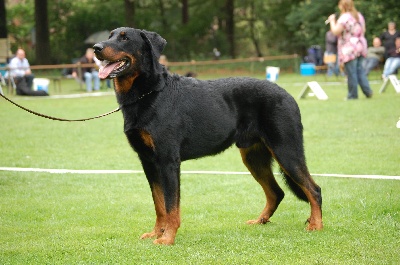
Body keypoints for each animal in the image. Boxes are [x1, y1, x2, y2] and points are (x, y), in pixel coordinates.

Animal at [93, 26, 322, 243]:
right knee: (276, 192)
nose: (96, 48)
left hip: (286, 150)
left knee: (314, 189)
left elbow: (171, 206)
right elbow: (159, 204)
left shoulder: (168, 161)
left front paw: (167, 238)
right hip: (253, 157)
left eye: (125, 38)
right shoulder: (148, 161)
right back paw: (260, 220)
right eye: (110, 35)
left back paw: (316, 225)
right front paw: (156, 233)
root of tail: (288, 95)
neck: (148, 93)